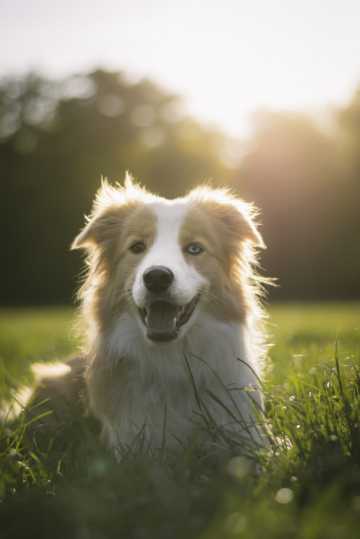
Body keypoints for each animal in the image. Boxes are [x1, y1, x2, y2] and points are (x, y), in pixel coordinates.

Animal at [69, 174, 268, 460]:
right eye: (136, 247)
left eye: (194, 248)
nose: (156, 277)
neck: (172, 362)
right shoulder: (131, 445)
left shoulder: (246, 432)